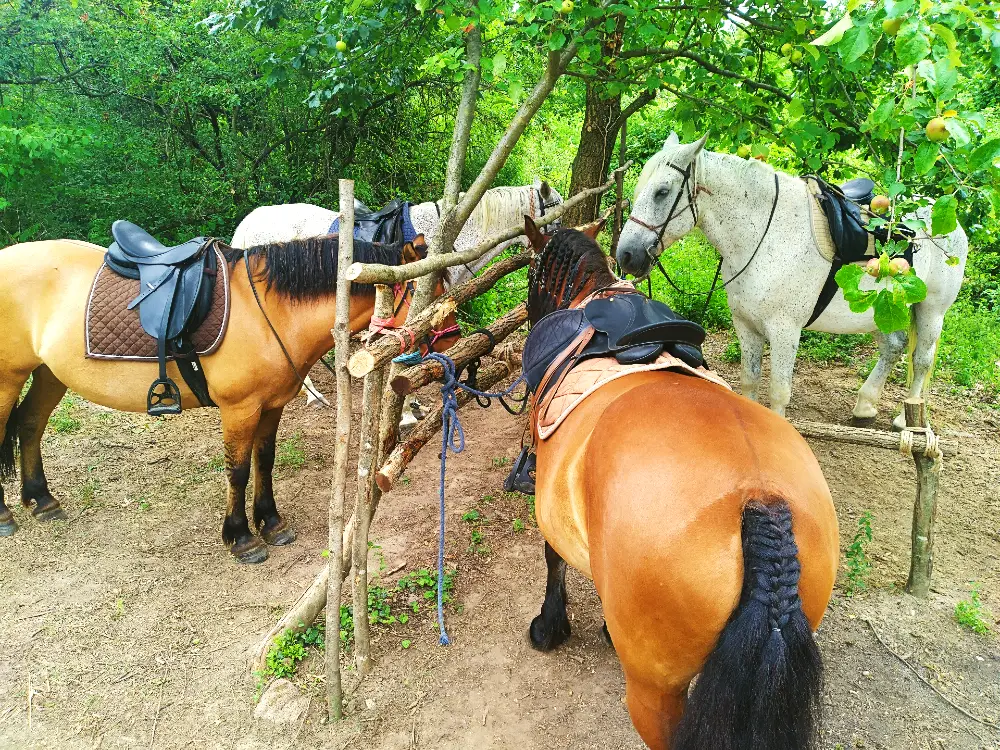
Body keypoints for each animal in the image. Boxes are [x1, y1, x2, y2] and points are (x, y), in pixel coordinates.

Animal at [0, 223, 458, 564]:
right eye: (428, 293)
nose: (455, 339)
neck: (270, 311)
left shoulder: (271, 406)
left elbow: (264, 461)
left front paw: (271, 523)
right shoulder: (239, 409)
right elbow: (237, 471)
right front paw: (241, 538)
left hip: (49, 373)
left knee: (30, 425)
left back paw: (41, 500)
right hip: (8, 378)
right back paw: (6, 515)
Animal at [616, 134, 968, 428]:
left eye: (662, 192)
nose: (626, 255)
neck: (764, 234)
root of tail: (949, 218)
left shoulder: (785, 331)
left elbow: (779, 392)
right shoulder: (746, 326)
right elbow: (749, 382)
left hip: (931, 311)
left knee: (921, 360)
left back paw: (906, 418)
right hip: (882, 311)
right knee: (894, 346)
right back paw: (865, 406)